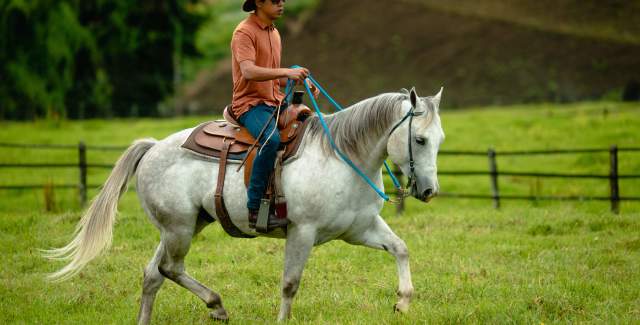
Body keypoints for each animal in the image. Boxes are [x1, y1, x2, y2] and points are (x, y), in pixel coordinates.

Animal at [45, 86, 444, 322]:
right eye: (420, 140)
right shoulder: (302, 232)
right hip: (178, 229)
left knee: (152, 275)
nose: (429, 191)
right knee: (170, 269)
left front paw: (403, 301)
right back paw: (217, 305)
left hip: (183, 226)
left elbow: (401, 248)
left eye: (440, 139)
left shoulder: (360, 229)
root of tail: (153, 146)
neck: (341, 156)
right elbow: (290, 283)